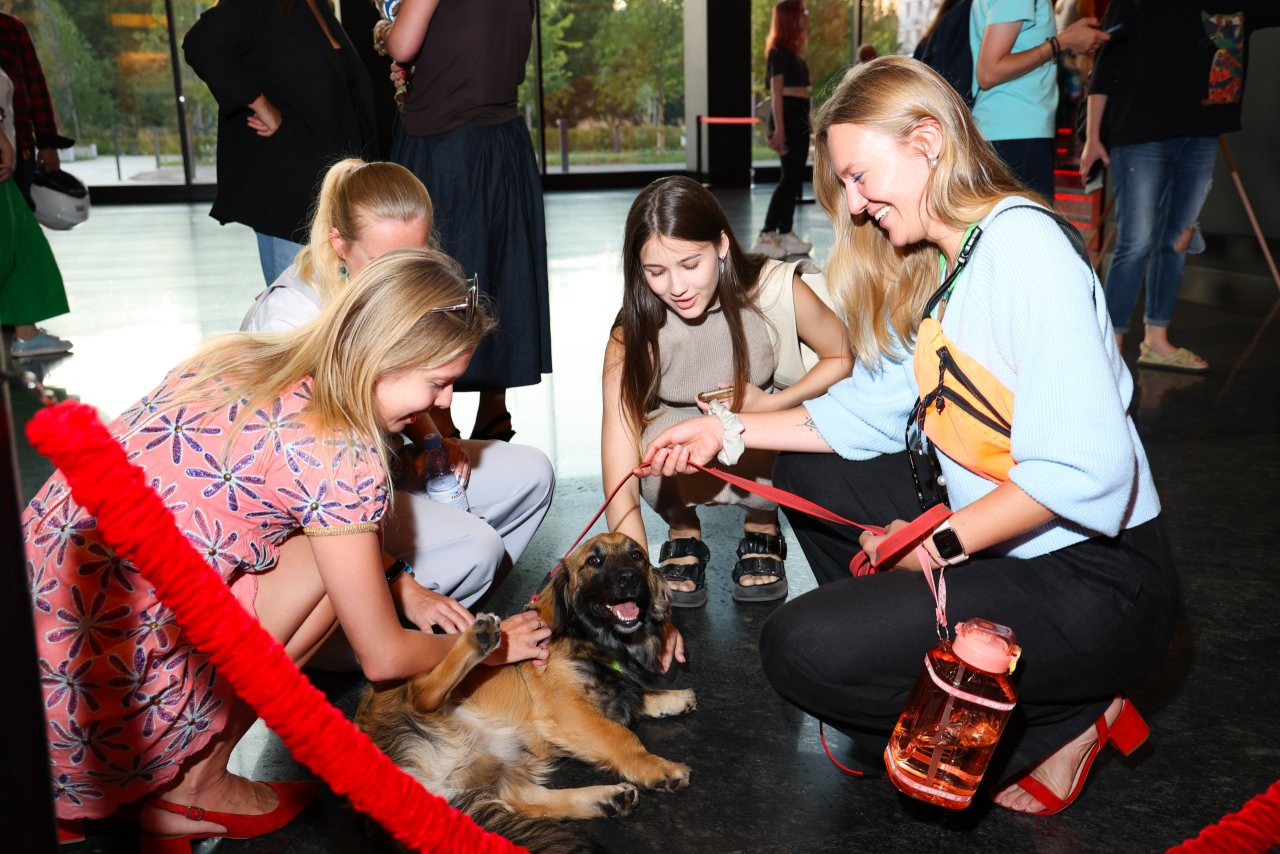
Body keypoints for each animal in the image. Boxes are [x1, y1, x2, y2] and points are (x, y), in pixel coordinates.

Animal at [358, 530, 701, 850]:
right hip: (418, 696)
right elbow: (622, 736)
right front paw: (656, 766)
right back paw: (478, 638)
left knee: (531, 801)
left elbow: (638, 694)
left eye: (637, 556)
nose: (629, 578)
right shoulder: (567, 710)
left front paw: (674, 698)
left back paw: (608, 799)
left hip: (497, 765)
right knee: (423, 694)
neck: (598, 640)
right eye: (594, 560)